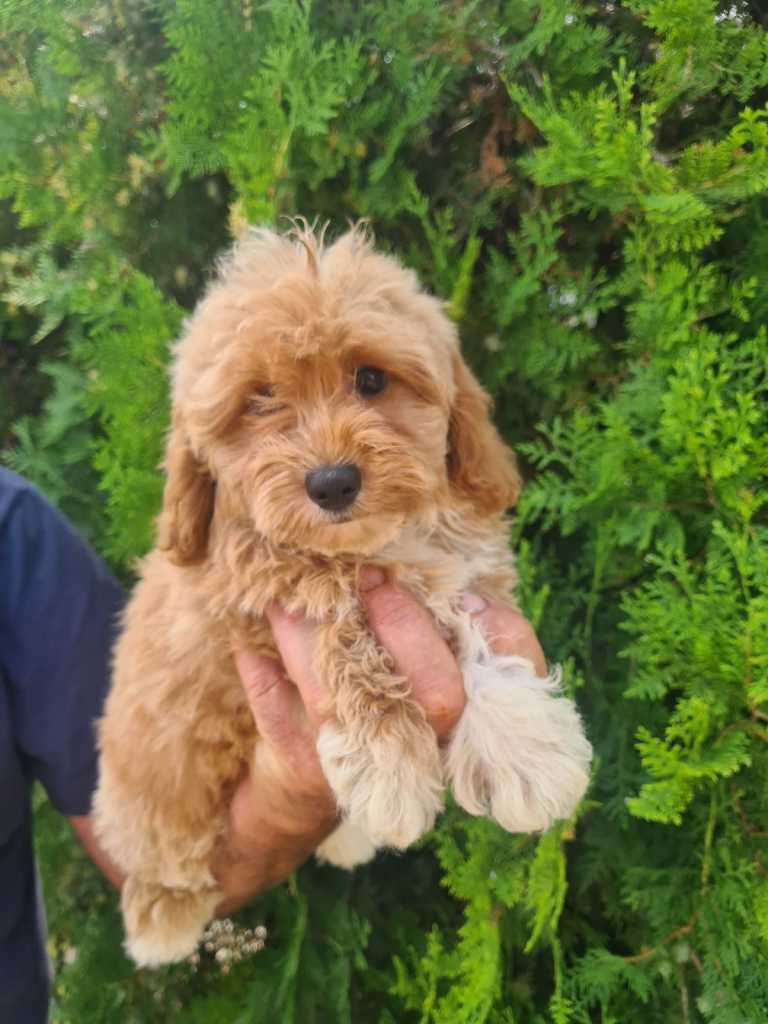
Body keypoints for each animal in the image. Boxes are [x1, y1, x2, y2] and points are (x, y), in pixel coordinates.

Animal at [91, 224, 593, 966]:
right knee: (155, 832)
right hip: (150, 759)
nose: (331, 483)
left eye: (371, 379)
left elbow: (473, 628)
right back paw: (163, 916)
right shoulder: (250, 595)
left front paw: (523, 748)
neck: (372, 544)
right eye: (260, 398)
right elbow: (338, 621)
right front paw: (388, 762)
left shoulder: (466, 569)